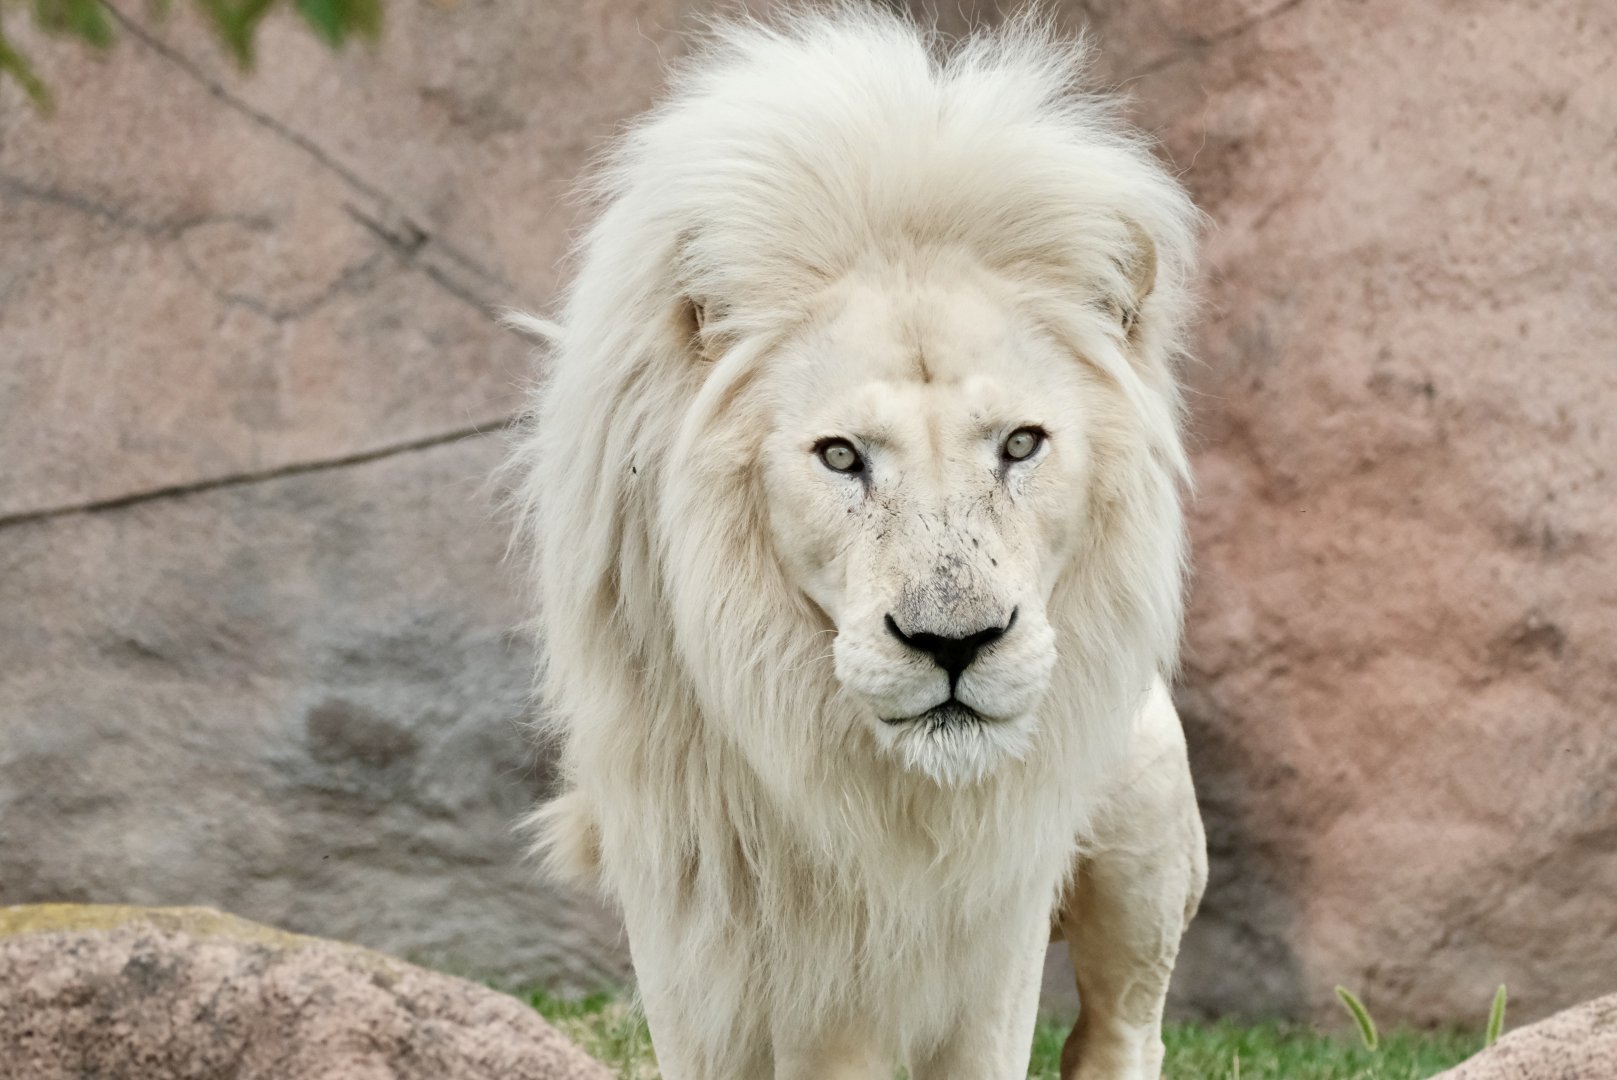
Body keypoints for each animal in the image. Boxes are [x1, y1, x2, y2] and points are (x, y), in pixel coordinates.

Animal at [504, 9, 1207, 1079]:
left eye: (1019, 444)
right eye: (840, 456)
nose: (956, 644)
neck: (866, 787)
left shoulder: (992, 924)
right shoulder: (694, 924)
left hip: (1142, 838)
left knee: (1121, 1027)